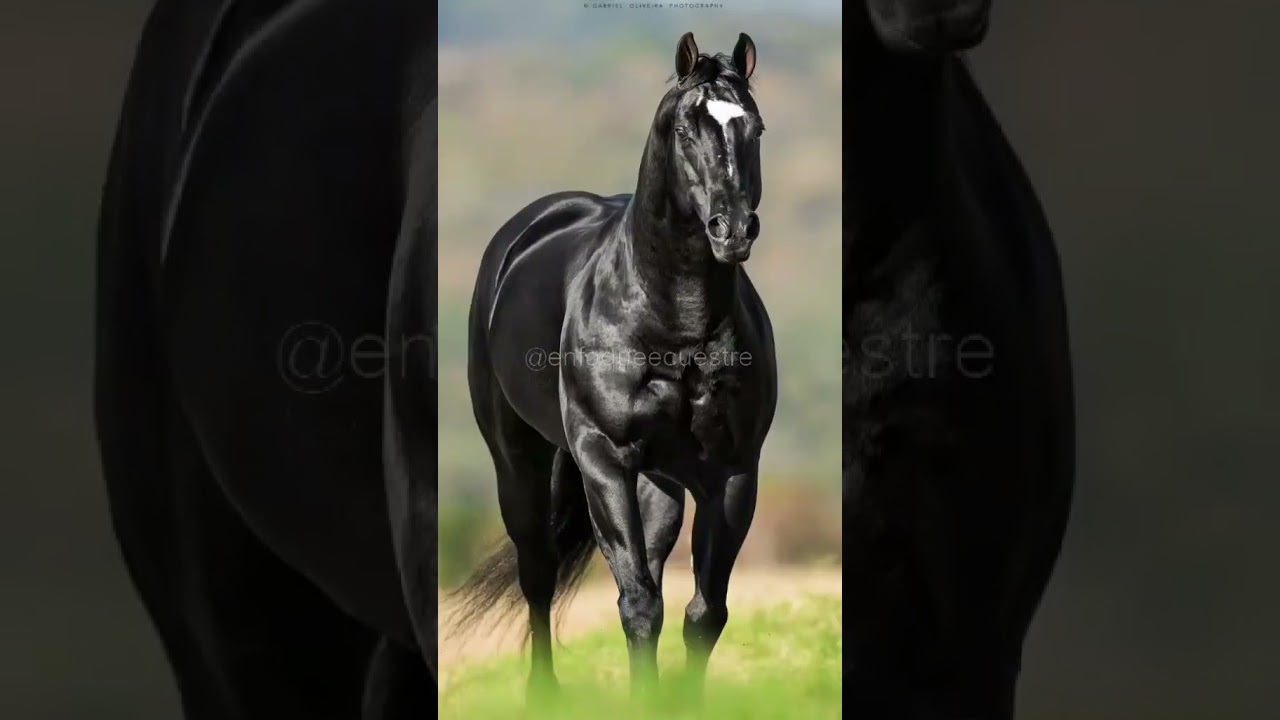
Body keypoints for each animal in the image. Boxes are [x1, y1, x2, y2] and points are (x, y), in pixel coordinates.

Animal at [449, 32, 778, 703]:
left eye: (753, 127)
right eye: (685, 129)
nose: (732, 229)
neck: (673, 323)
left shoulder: (732, 473)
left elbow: (702, 613)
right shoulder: (603, 458)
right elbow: (638, 604)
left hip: (662, 481)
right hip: (518, 458)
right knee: (538, 572)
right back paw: (542, 693)